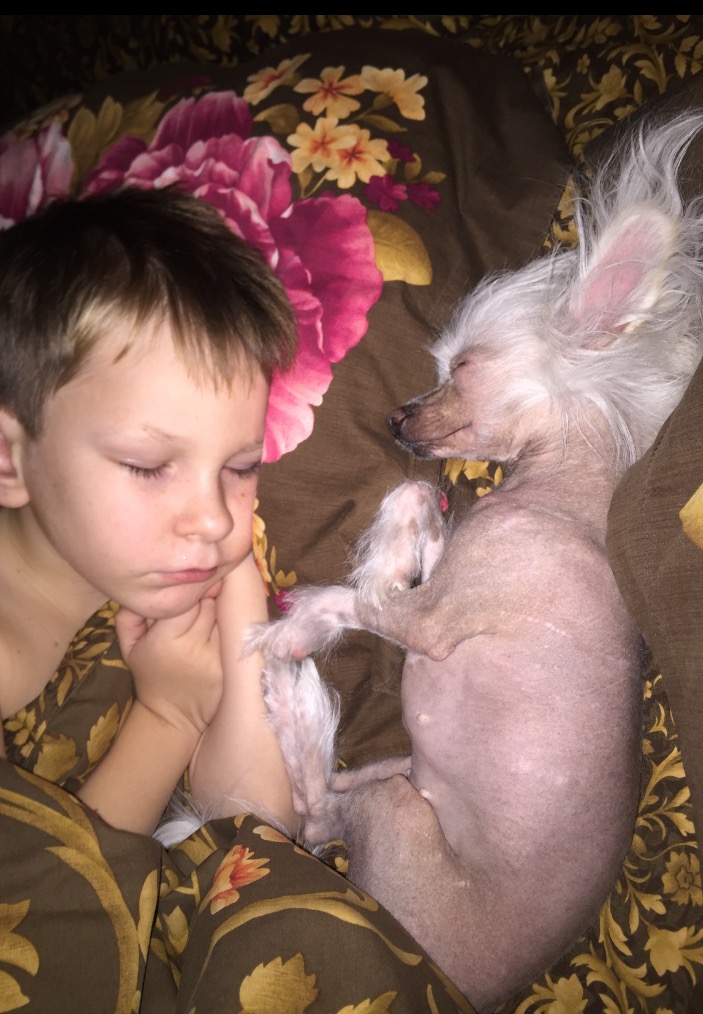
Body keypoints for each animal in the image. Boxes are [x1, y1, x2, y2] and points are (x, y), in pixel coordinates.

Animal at [249, 111, 703, 1012]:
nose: (395, 419)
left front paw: (312, 613)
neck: (555, 499)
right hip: (397, 770)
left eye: (459, 369)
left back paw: (294, 696)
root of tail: (458, 988)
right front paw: (412, 532)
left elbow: (372, 589)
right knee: (320, 810)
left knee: (314, 819)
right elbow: (423, 501)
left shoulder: (428, 621)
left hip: (392, 809)